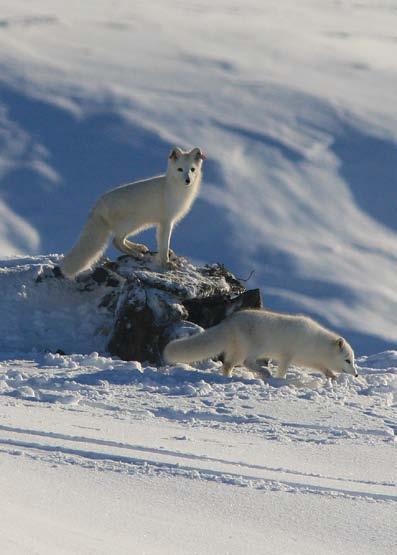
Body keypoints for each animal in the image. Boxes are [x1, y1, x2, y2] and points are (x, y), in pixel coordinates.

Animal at [61, 147, 207, 278]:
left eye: (192, 169)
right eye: (180, 169)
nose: (187, 180)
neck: (174, 189)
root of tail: (98, 205)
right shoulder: (166, 221)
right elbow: (164, 244)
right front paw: (166, 263)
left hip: (138, 225)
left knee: (121, 239)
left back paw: (138, 248)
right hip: (132, 223)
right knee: (116, 241)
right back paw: (136, 253)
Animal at [162, 308, 358, 382]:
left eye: (353, 360)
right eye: (348, 360)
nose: (356, 374)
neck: (315, 343)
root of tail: (229, 322)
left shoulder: (308, 360)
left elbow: (324, 368)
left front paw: (332, 377)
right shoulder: (287, 355)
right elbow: (283, 370)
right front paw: (280, 380)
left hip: (237, 352)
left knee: (227, 364)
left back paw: (228, 377)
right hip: (254, 350)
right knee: (246, 362)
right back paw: (264, 373)